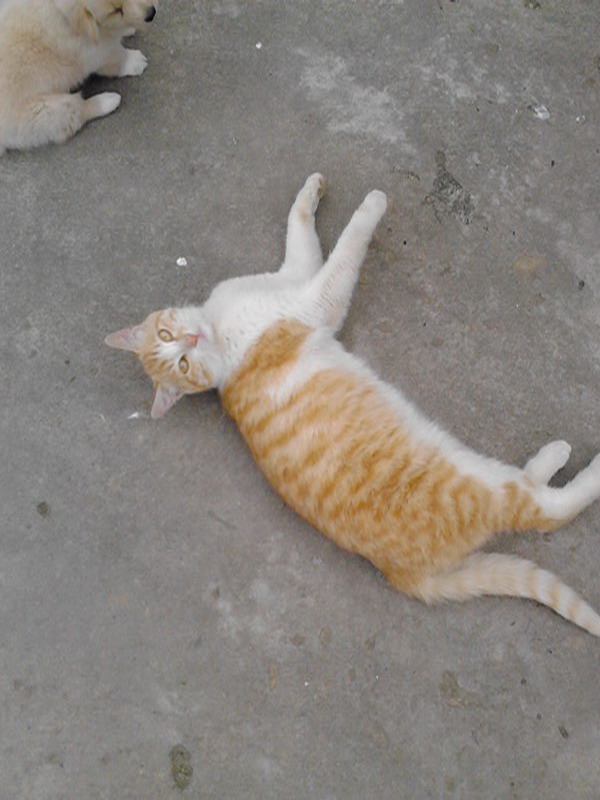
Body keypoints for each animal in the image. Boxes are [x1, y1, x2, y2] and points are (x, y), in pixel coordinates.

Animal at [0, 0, 158, 155]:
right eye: (117, 11)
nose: (151, 13)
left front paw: (127, 29)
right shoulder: (97, 53)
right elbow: (117, 56)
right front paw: (134, 61)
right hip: (47, 111)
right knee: (78, 113)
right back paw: (108, 100)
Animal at [106, 174, 600, 636]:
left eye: (171, 343)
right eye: (181, 362)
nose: (189, 341)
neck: (220, 330)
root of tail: (399, 573)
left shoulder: (293, 274)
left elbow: (301, 232)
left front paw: (313, 191)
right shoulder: (315, 302)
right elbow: (348, 244)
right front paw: (373, 203)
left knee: (530, 485)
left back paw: (548, 458)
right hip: (473, 480)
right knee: (543, 509)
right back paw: (574, 462)